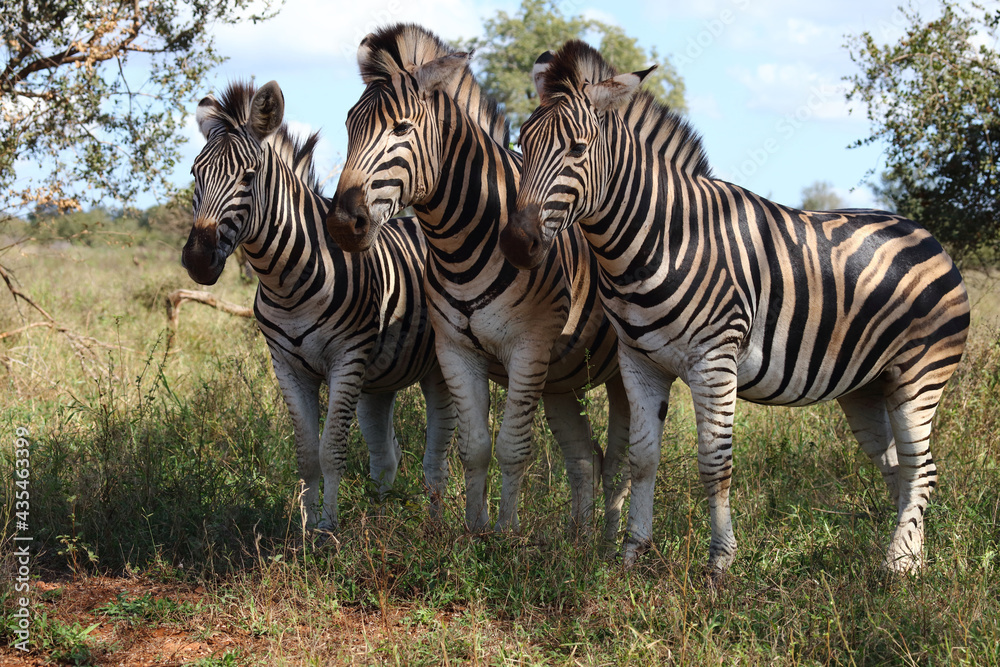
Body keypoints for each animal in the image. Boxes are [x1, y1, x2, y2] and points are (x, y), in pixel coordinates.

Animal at [181, 80, 456, 532]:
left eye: (249, 177)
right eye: (194, 175)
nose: (198, 260)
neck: (286, 282)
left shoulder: (347, 357)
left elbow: (331, 450)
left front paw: (328, 530)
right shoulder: (286, 366)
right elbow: (307, 452)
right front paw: (306, 530)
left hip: (437, 367)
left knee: (438, 455)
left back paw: (435, 524)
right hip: (378, 381)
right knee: (386, 454)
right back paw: (380, 516)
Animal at [325, 24, 630, 541]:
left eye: (402, 128)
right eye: (348, 126)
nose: (345, 225)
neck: (462, 240)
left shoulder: (528, 348)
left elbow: (512, 448)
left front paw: (505, 536)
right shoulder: (455, 351)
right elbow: (474, 447)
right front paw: (474, 532)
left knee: (622, 462)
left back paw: (610, 544)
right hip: (564, 378)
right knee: (585, 457)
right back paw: (580, 540)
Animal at [501, 41, 970, 574]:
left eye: (578, 149)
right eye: (523, 141)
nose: (515, 244)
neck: (663, 238)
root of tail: (925, 234)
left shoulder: (714, 361)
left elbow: (714, 462)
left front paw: (720, 562)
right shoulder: (639, 362)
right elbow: (643, 458)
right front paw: (632, 554)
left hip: (921, 374)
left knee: (922, 467)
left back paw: (897, 567)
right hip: (867, 386)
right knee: (900, 470)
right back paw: (911, 561)